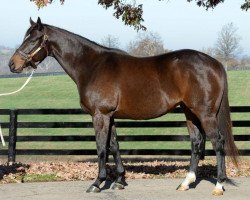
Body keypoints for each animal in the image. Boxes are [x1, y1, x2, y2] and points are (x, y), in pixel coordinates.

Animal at [8, 17, 238, 195]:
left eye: (33, 39)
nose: (12, 64)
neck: (92, 66)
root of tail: (215, 63)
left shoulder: (100, 115)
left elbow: (101, 148)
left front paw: (97, 183)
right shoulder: (109, 116)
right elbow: (114, 146)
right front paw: (119, 180)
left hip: (205, 114)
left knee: (218, 142)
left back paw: (218, 185)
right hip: (190, 112)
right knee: (196, 143)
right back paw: (185, 182)